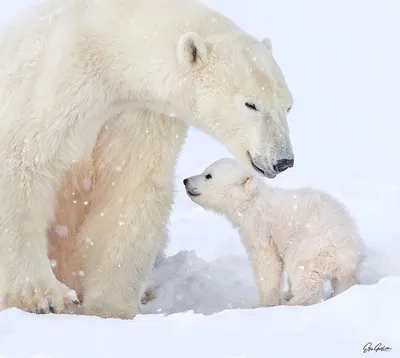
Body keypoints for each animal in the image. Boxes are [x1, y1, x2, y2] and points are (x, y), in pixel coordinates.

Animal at [0, 0, 294, 318]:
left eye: (288, 106)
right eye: (251, 104)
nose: (283, 160)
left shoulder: (142, 112)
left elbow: (132, 185)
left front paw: (110, 307)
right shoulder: (55, 84)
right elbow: (24, 162)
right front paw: (45, 297)